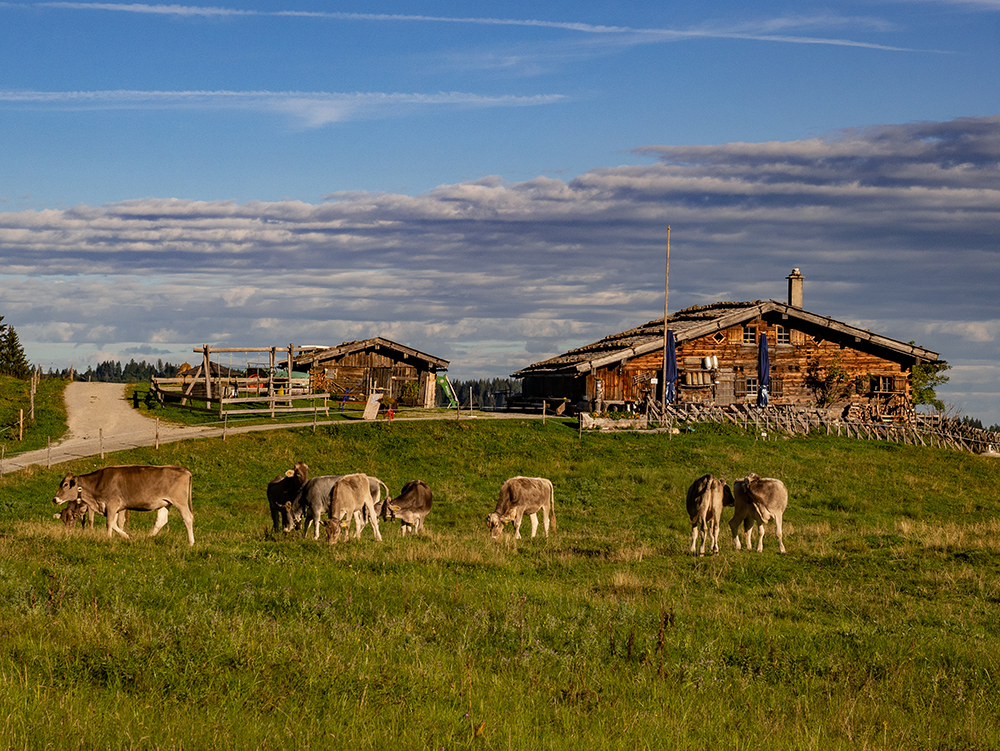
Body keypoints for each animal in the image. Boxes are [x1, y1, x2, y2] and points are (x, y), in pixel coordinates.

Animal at [51, 464, 196, 548]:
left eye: (65, 484)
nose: (54, 499)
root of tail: (184, 470)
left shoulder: (112, 503)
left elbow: (109, 523)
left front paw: (107, 538)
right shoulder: (114, 507)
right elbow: (114, 524)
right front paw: (127, 536)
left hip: (180, 501)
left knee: (188, 518)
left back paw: (191, 543)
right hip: (165, 503)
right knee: (161, 520)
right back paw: (148, 537)